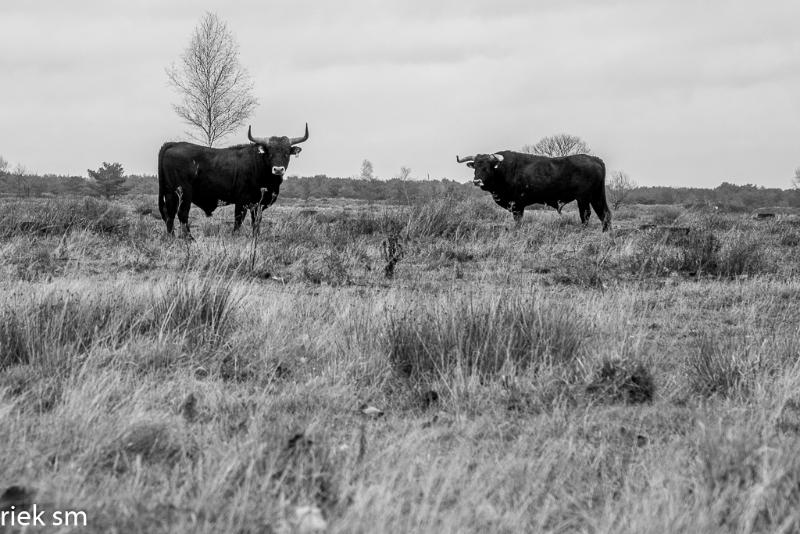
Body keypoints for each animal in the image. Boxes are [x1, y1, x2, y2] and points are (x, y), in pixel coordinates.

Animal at [158, 125, 308, 239]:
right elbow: (238, 221)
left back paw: (171, 237)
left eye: (286, 153)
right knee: (182, 214)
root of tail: (173, 144)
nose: (278, 169)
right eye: (269, 153)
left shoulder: (258, 204)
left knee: (170, 214)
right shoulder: (241, 201)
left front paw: (256, 237)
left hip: (170, 193)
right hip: (184, 193)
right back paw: (189, 238)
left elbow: (256, 221)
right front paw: (235, 236)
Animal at [456, 152, 612, 233]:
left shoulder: (517, 205)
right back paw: (606, 232)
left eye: (487, 166)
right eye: (475, 166)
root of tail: (594, 159)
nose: (477, 181)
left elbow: (518, 220)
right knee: (604, 213)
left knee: (586, 215)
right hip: (597, 196)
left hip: (583, 198)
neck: (502, 170)